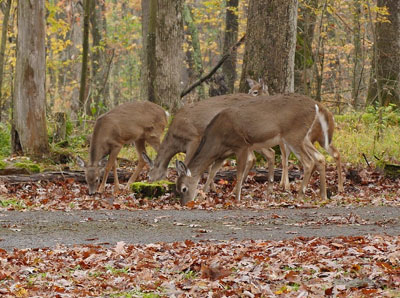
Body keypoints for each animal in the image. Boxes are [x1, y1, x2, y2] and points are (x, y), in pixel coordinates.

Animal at [177, 94, 332, 206]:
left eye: (184, 188)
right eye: (176, 189)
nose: (185, 204)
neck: (217, 139)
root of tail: (315, 105)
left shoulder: (241, 145)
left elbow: (239, 173)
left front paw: (237, 198)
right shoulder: (223, 154)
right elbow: (212, 172)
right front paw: (203, 194)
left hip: (294, 135)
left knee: (308, 162)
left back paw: (300, 196)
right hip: (304, 137)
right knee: (320, 157)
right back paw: (323, 195)